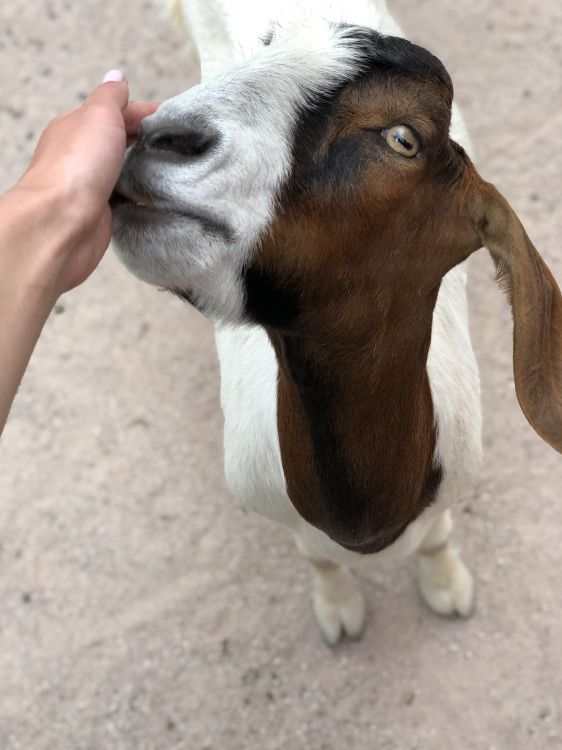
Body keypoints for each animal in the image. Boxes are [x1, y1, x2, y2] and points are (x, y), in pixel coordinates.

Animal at [111, 0, 562, 645]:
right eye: (267, 49)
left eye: (403, 138)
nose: (155, 137)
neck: (365, 528)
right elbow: (318, 560)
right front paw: (339, 609)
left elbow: (438, 538)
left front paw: (447, 588)